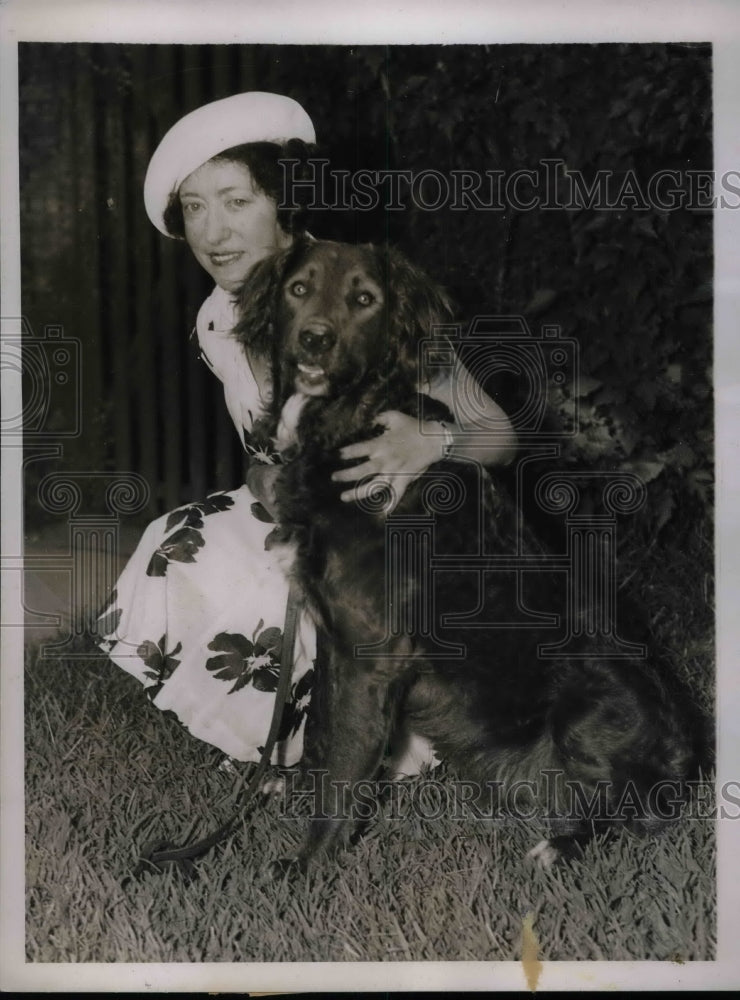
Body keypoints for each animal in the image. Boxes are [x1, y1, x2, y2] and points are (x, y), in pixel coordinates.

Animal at [236, 238, 692, 872]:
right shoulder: (334, 636)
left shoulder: (371, 651)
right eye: (297, 289)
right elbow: (323, 730)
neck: (346, 428)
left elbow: (345, 762)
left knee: (613, 813)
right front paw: (293, 793)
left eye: (364, 300)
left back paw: (558, 846)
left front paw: (310, 865)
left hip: (589, 703)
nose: (315, 339)